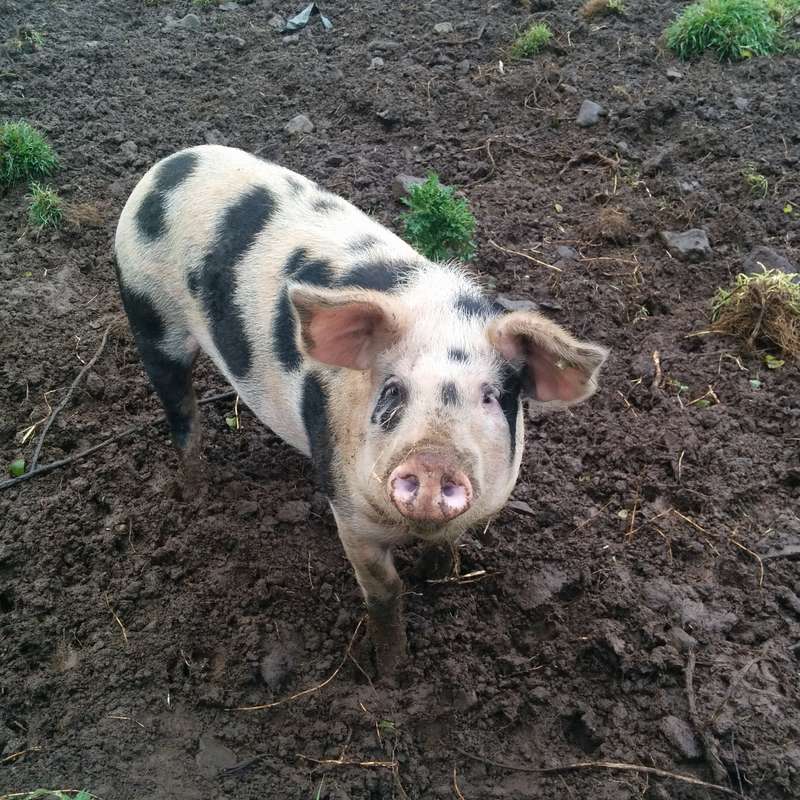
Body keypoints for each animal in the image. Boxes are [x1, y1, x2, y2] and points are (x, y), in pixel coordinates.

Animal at [114, 145, 608, 674]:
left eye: (491, 396)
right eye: (392, 390)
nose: (432, 460)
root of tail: (168, 165)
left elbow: (446, 543)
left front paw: (435, 576)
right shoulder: (349, 512)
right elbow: (385, 589)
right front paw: (390, 671)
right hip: (149, 313)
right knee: (181, 413)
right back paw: (195, 491)